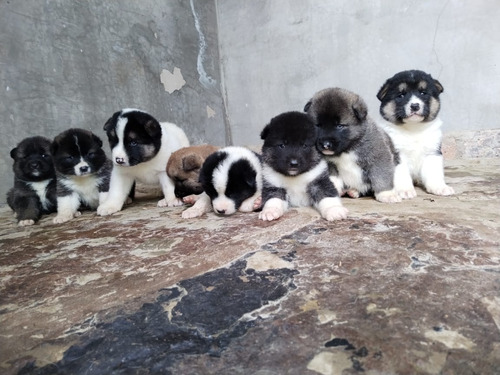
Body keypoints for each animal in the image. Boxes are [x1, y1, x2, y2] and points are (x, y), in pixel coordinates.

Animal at [376, 69, 456, 197]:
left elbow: (434, 172)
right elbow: (402, 173)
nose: (414, 106)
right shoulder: (397, 154)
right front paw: (405, 190)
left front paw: (440, 187)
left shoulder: (432, 152)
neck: (414, 128)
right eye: (401, 95)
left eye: (423, 93)